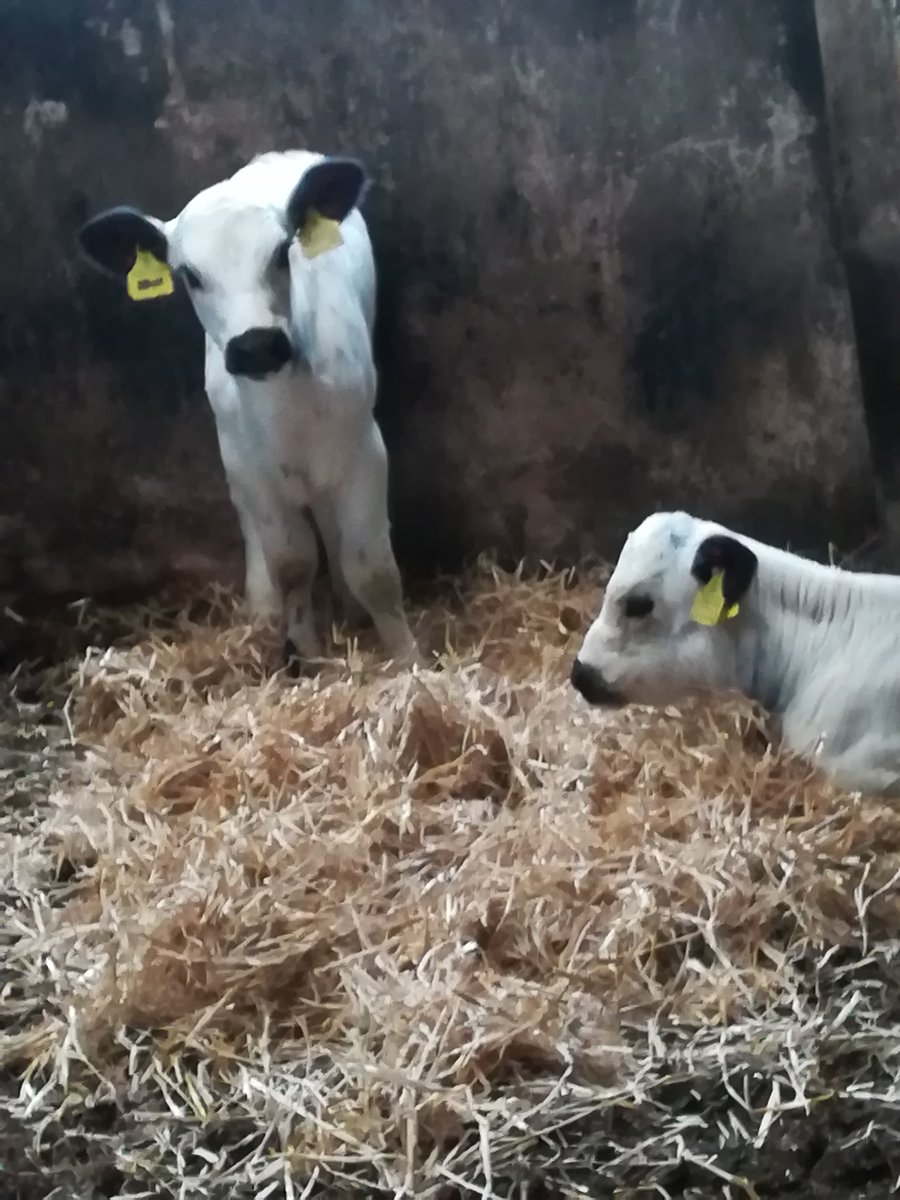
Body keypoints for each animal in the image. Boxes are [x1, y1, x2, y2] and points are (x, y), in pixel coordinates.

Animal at [77, 149, 420, 671]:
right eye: (190, 276)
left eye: (281, 253)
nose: (256, 345)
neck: (288, 413)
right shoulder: (252, 469)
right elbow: (292, 566)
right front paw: (308, 656)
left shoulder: (364, 452)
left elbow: (373, 569)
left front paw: (406, 659)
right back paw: (263, 611)